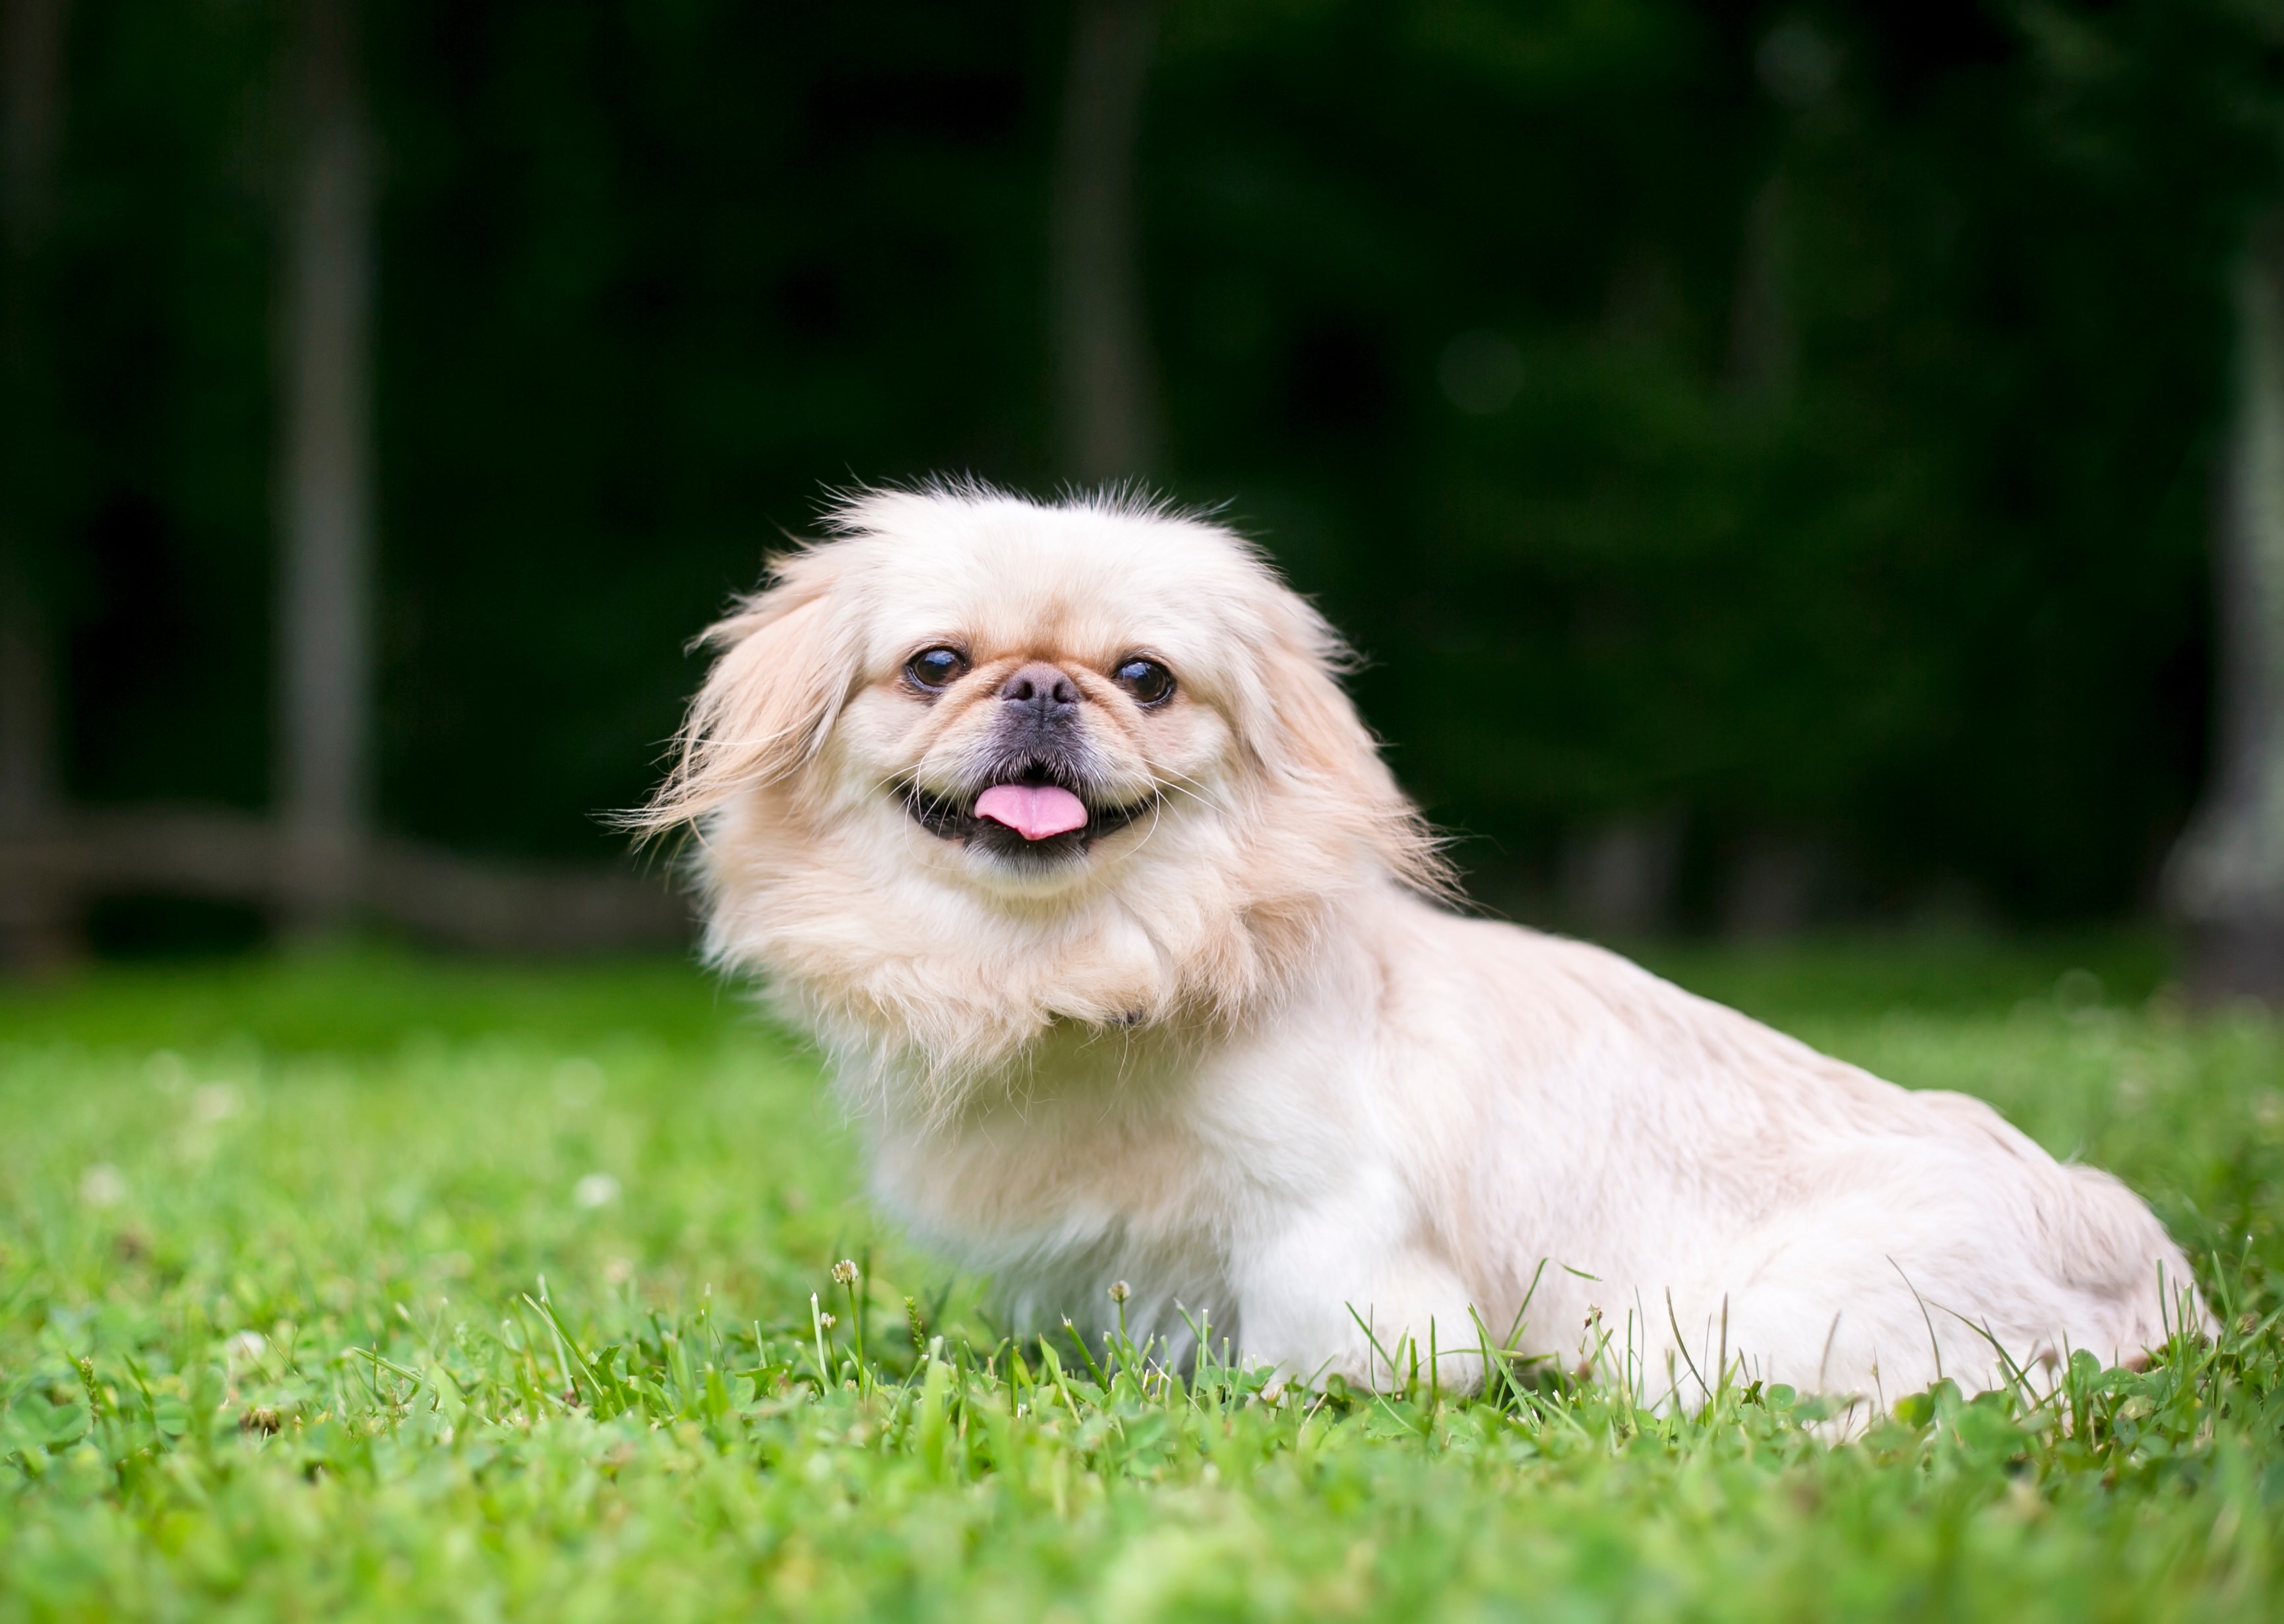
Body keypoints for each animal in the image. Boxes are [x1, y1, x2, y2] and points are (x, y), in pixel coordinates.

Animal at [639, 486, 2192, 1407]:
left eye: (1143, 677)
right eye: (936, 667)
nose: (1040, 686)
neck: (1085, 969)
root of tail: (2136, 1255)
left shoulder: (1323, 1229)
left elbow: (1318, 1343)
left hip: (1742, 1327)